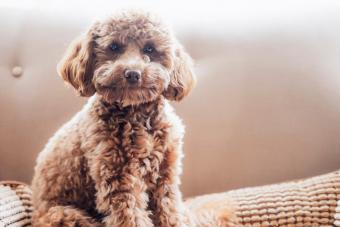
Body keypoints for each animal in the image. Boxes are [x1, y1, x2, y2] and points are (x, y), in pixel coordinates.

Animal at [32, 9, 197, 226]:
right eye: (114, 47)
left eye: (150, 49)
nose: (133, 73)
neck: (137, 114)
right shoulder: (118, 178)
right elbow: (130, 217)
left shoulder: (165, 174)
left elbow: (170, 210)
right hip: (65, 214)